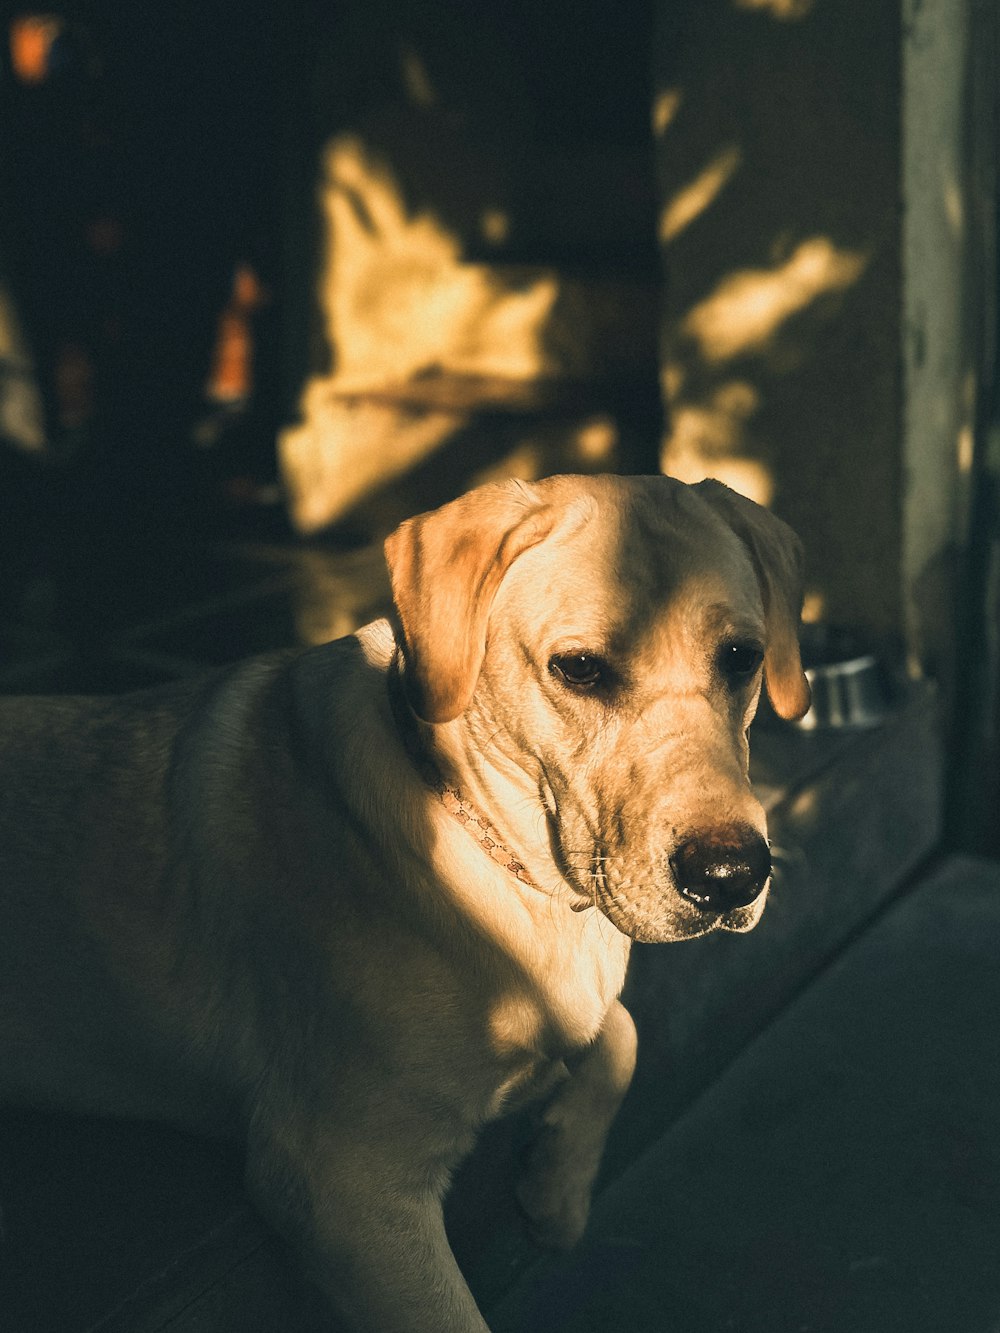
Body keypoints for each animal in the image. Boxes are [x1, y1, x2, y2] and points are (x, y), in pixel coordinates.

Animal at [0, 477, 810, 1333]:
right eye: (580, 668)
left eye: (743, 659)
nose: (732, 876)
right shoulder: (343, 1183)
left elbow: (620, 1034)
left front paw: (556, 1192)